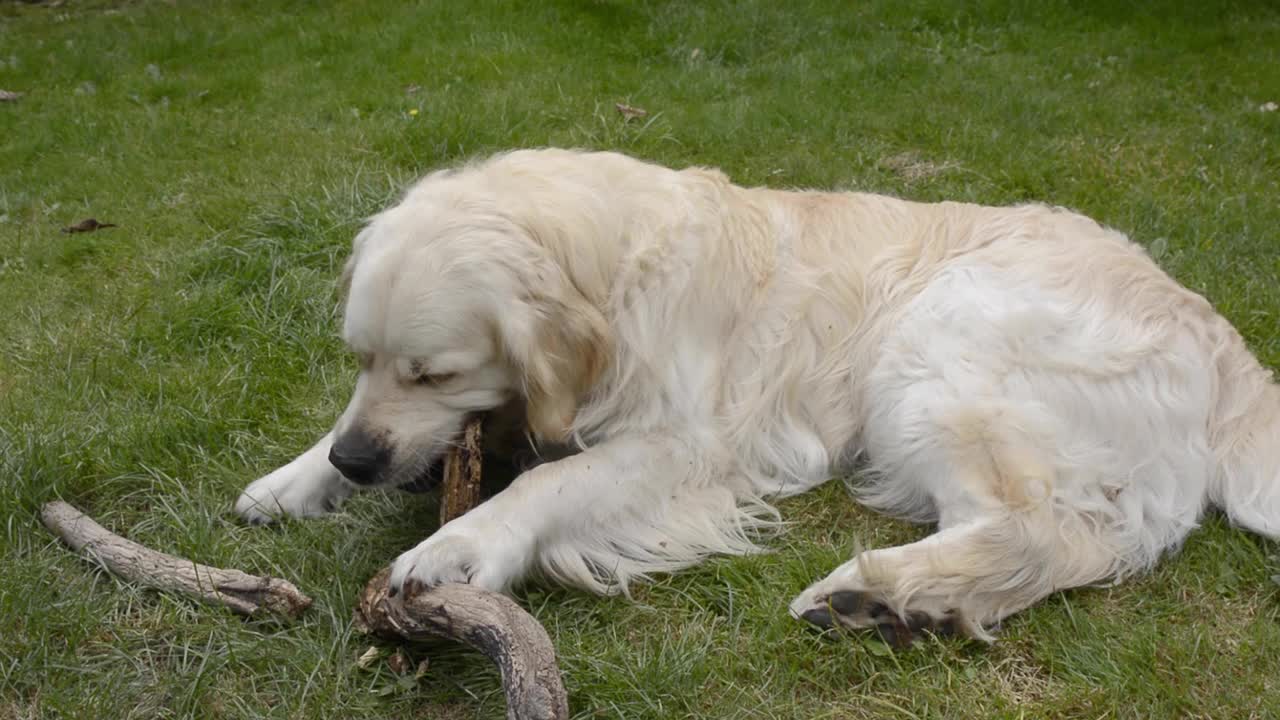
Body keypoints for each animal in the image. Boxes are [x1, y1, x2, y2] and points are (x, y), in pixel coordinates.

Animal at [235, 148, 1274, 640]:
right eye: (361, 359)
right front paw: (293, 479)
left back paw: (880, 592)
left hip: (934, 345)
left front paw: (457, 546)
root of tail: (1214, 329)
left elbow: (548, 482)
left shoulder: (688, 446)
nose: (358, 462)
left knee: (1046, 531)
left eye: (437, 373)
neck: (612, 264)